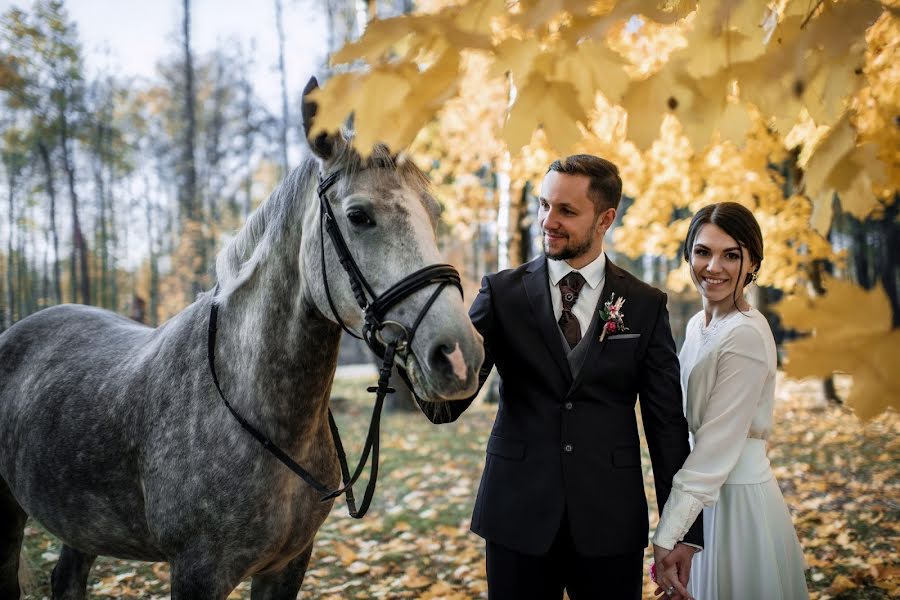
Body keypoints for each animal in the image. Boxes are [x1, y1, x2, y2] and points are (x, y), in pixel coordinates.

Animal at [0, 81, 486, 600]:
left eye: (433, 213)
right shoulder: (197, 572)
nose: (460, 355)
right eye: (359, 215)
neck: (256, 411)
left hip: (81, 526)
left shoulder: (288, 564)